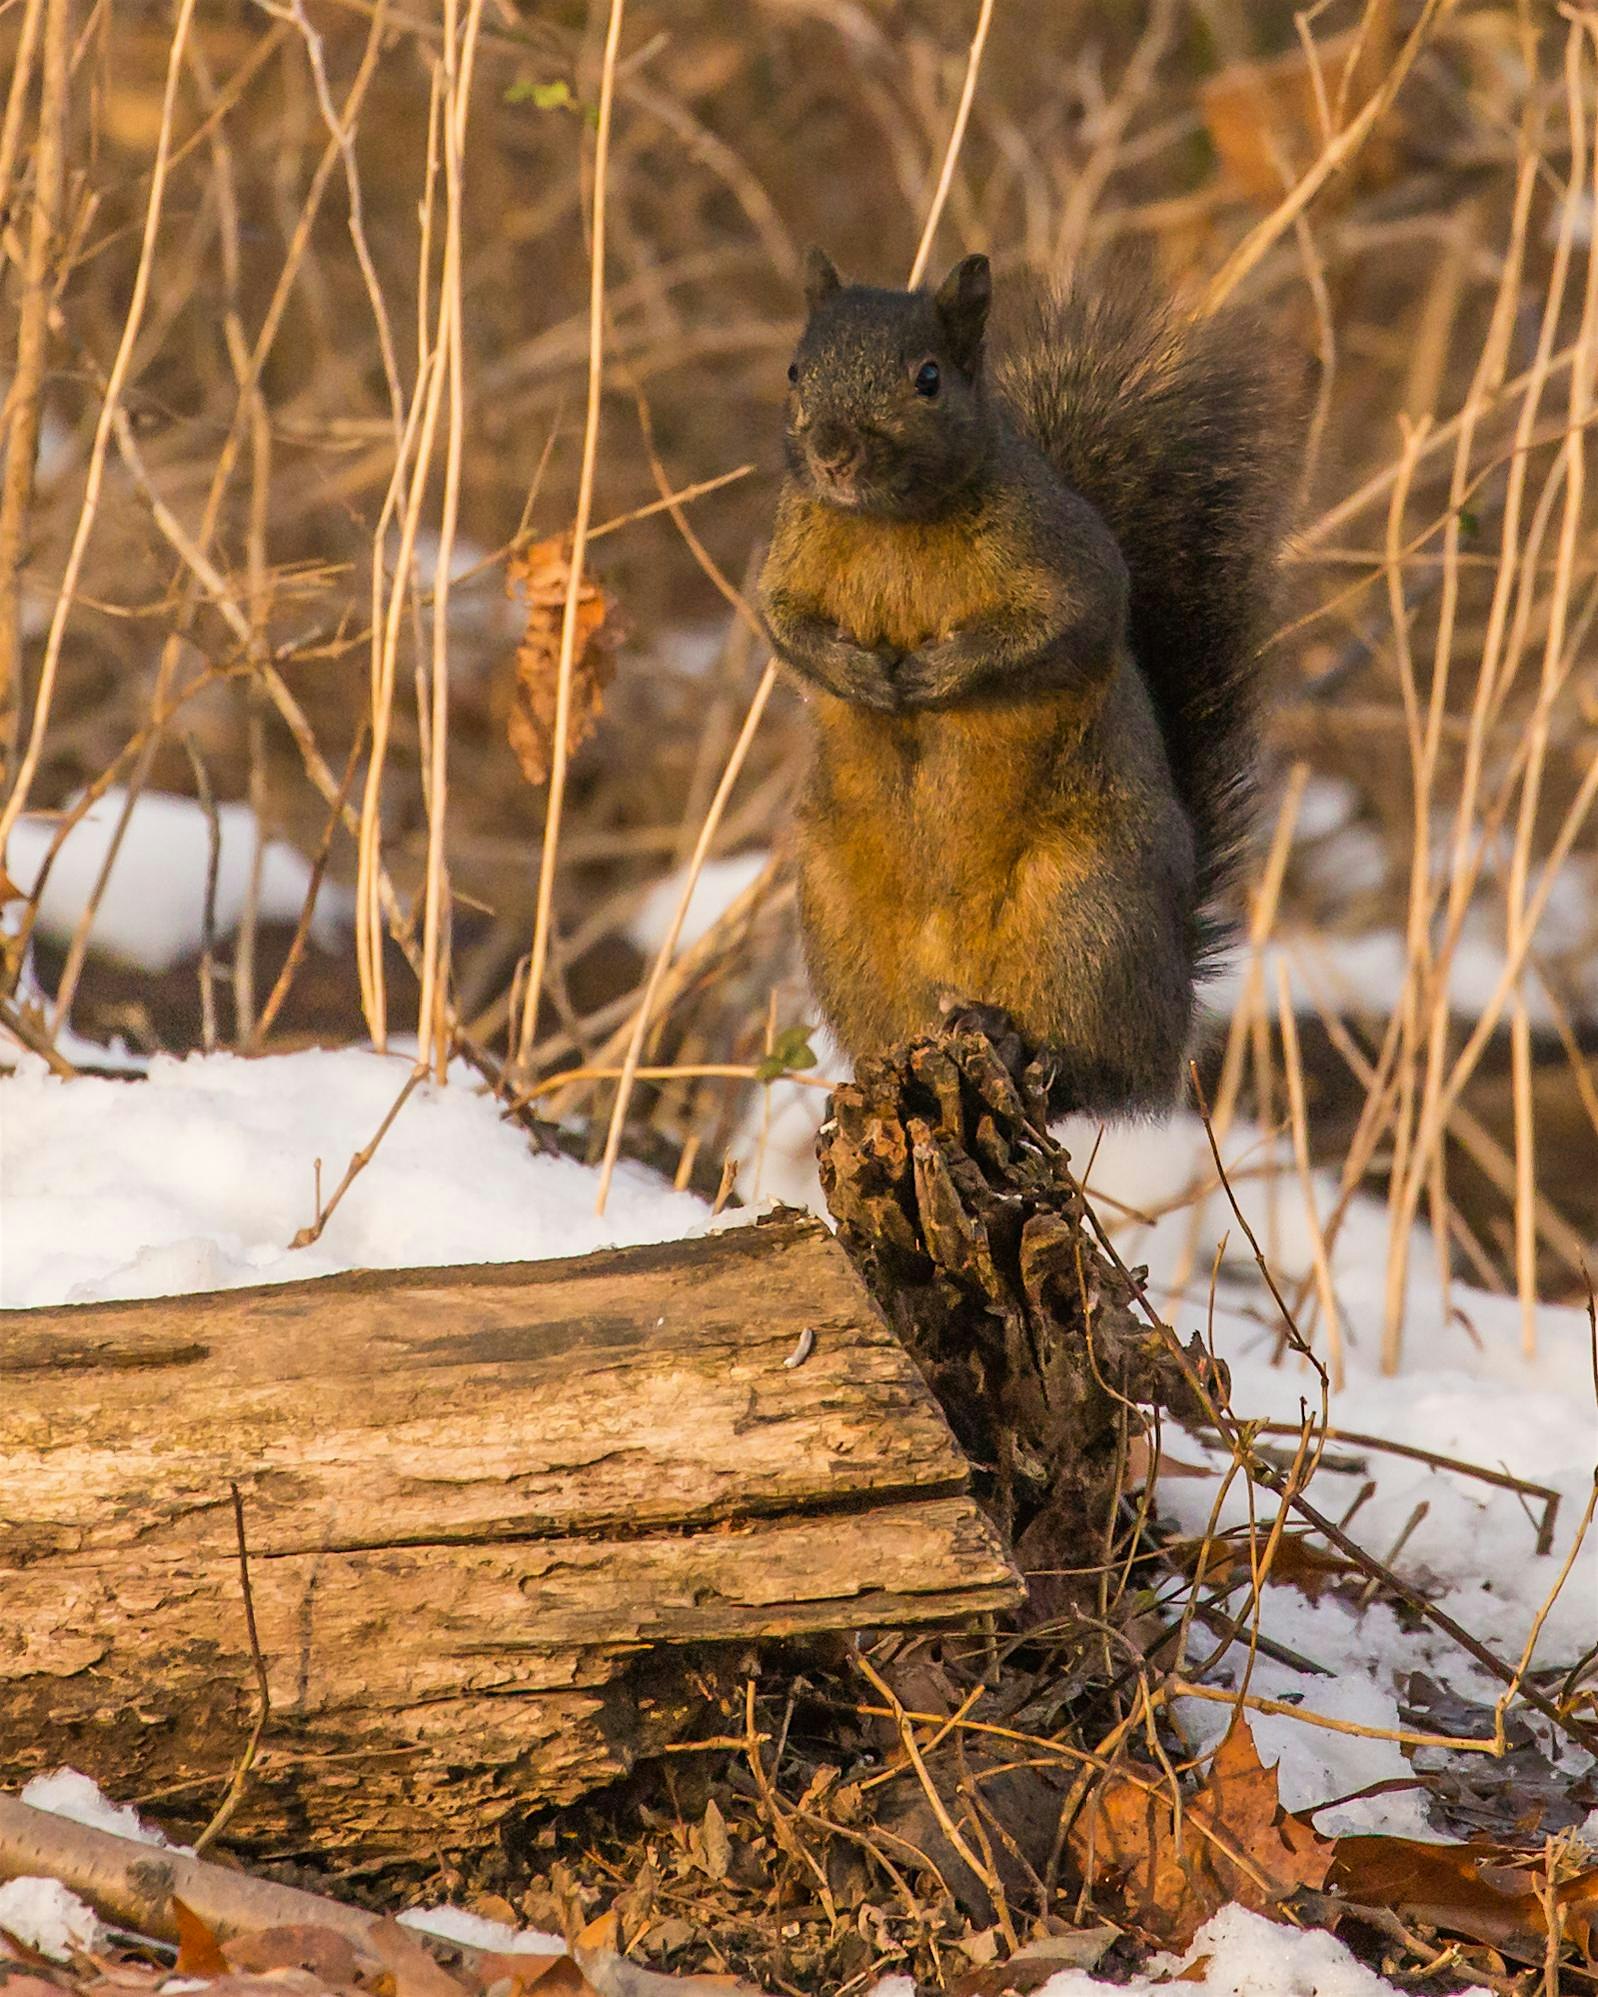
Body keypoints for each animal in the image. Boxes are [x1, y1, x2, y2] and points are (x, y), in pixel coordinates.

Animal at [758, 249, 1293, 1114]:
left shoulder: (1066, 563)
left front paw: (936, 673)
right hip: (840, 920)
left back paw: (1037, 1046)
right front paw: (860, 674)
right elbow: (784, 627)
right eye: (796, 369)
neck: (887, 523)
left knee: (1098, 1074)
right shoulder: (788, 558)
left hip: (1088, 912)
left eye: (929, 378)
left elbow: (1055, 626)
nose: (833, 454)